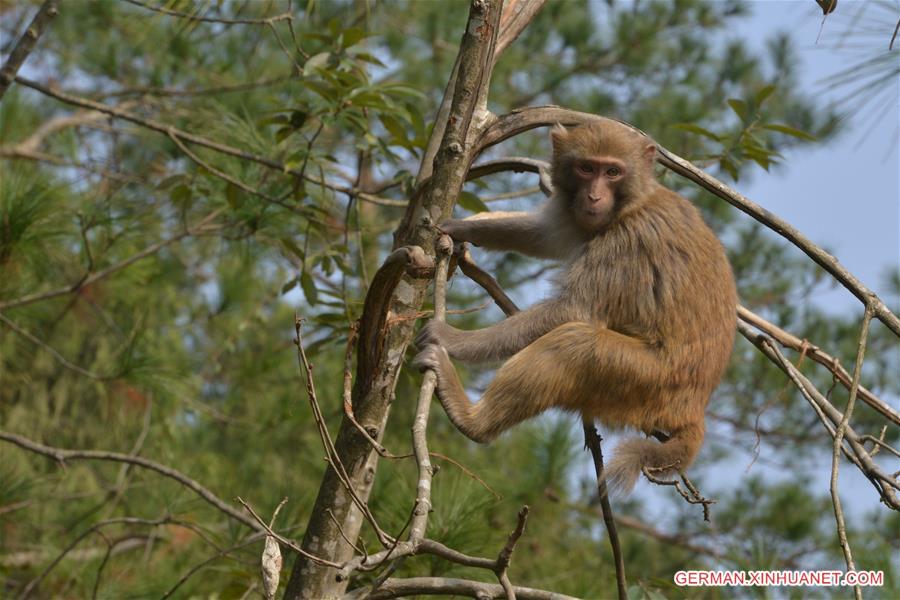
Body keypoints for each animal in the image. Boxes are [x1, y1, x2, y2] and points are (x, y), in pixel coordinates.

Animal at [414, 119, 740, 490]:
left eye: (612, 172)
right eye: (586, 168)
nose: (594, 196)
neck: (633, 203)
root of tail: (694, 409)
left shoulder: (627, 241)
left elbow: (573, 310)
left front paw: (451, 337)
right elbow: (543, 234)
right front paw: (462, 227)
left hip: (647, 383)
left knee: (576, 345)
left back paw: (472, 420)